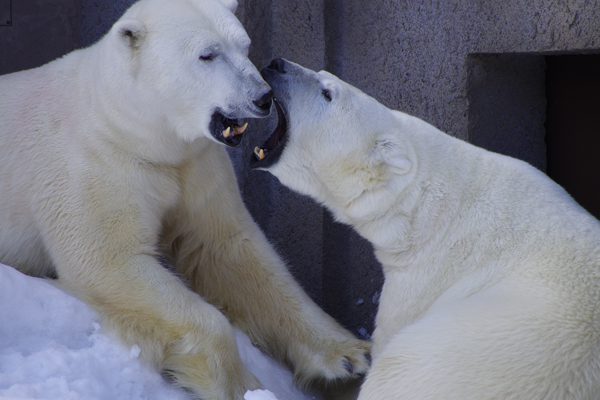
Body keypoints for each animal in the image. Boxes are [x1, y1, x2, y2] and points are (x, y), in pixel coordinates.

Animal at [0, 3, 368, 400]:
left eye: (244, 45)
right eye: (207, 54)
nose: (262, 97)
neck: (134, 130)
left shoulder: (196, 165)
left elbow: (230, 251)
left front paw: (350, 358)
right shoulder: (94, 167)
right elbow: (108, 258)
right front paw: (239, 386)